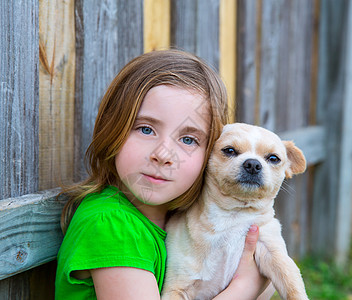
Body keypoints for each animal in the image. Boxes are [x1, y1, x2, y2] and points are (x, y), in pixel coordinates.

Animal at [162, 123, 308, 298]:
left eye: (273, 158)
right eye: (229, 150)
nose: (253, 164)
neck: (234, 216)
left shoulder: (273, 251)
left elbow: (292, 285)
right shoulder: (176, 289)